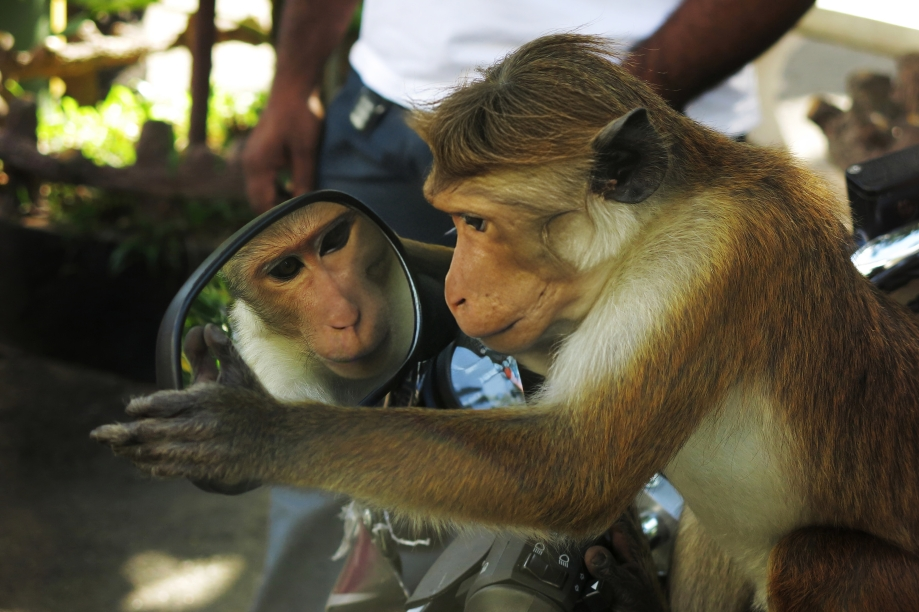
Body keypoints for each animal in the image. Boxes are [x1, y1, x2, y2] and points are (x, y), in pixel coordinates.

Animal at [91, 34, 919, 612]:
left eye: (478, 222)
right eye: (454, 221)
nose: (459, 291)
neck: (650, 228)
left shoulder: (697, 265)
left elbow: (567, 469)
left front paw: (253, 430)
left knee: (818, 558)